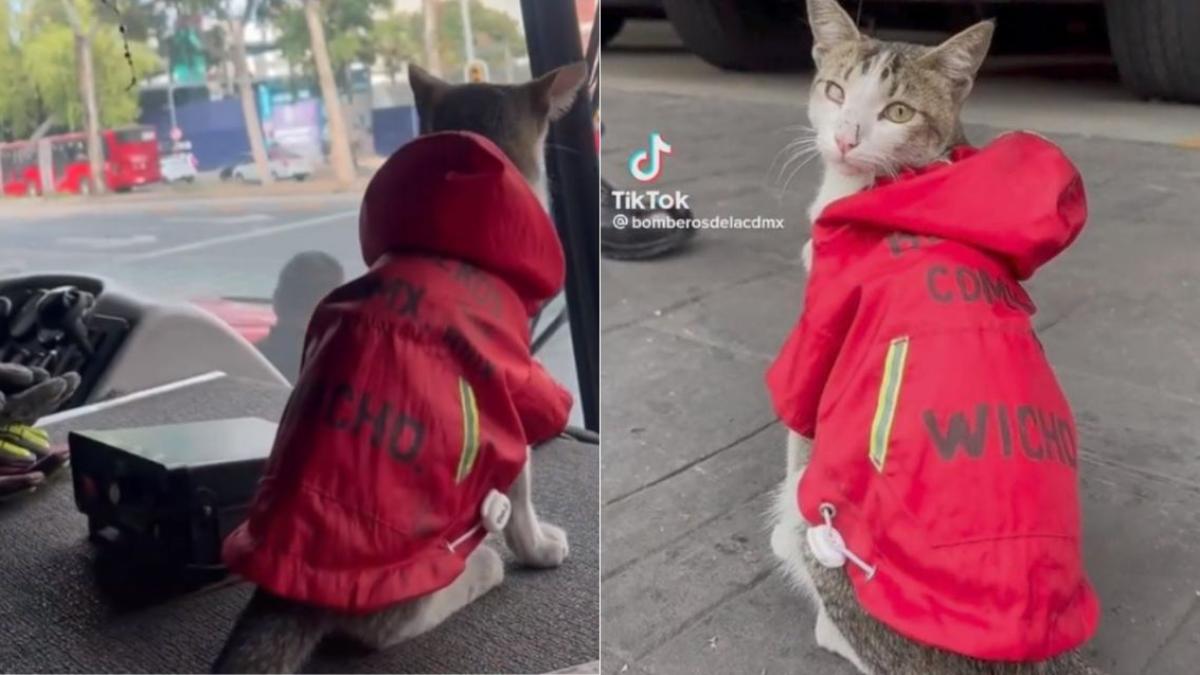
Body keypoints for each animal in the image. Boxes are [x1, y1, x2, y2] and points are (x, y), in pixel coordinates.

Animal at [216, 60, 590, 667]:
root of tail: (288, 591)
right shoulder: (512, 390)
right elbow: (522, 488)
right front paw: (536, 547)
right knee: (382, 628)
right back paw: (481, 567)